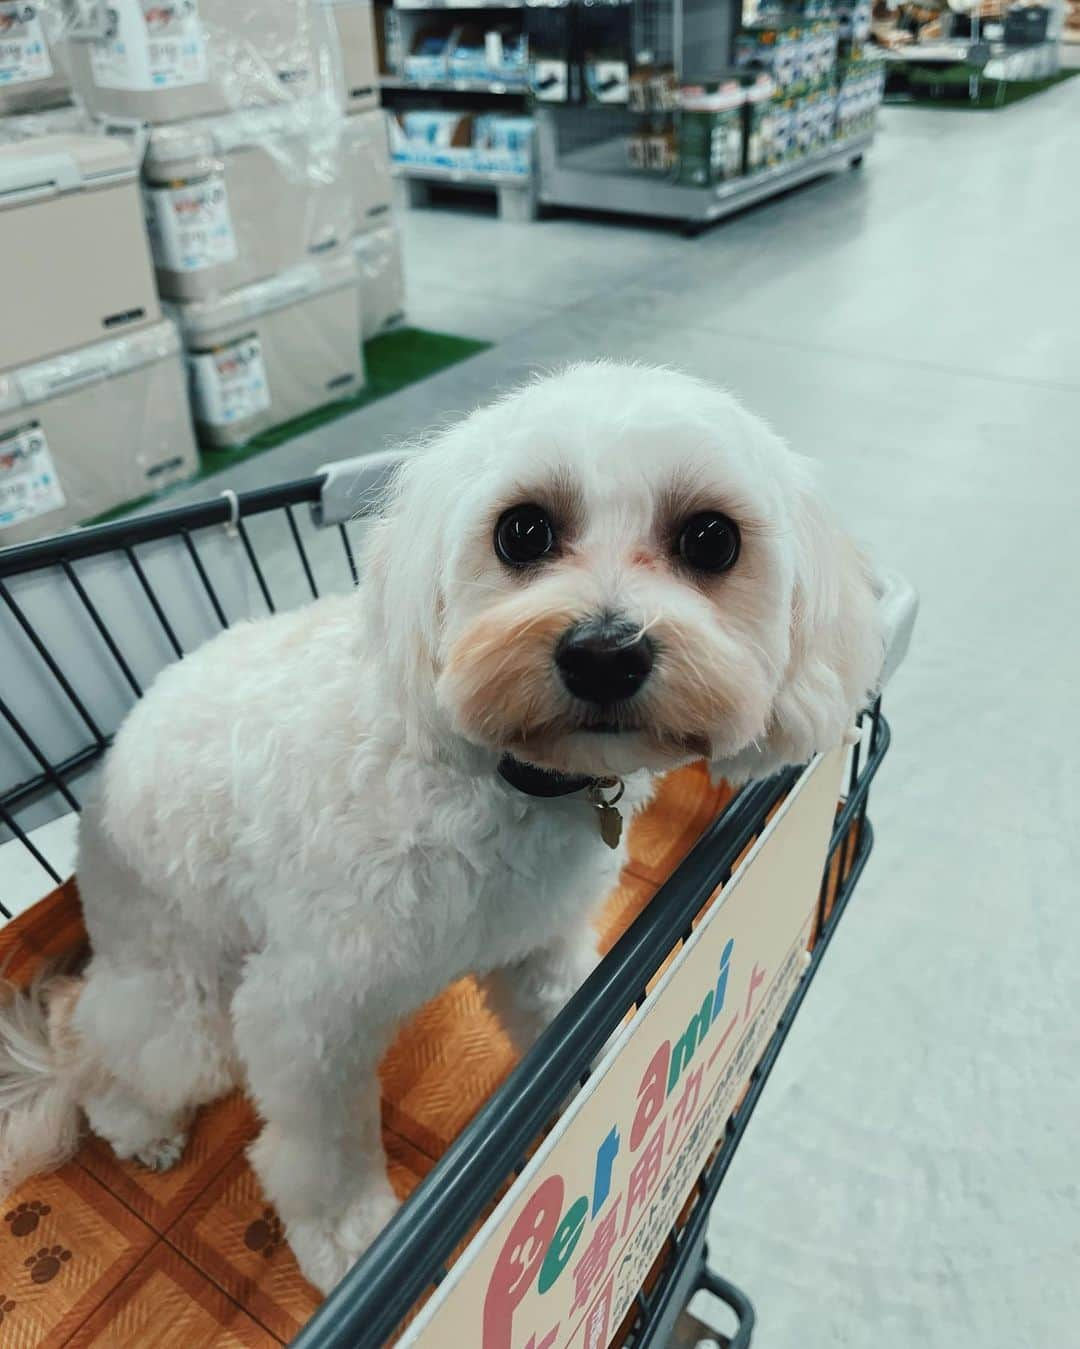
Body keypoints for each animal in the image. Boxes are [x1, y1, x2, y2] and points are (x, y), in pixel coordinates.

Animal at [0, 364, 873, 1289]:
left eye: (711, 540)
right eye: (522, 530)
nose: (604, 653)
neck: (503, 779)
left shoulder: (541, 945)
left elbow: (561, 1017)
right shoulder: (304, 1013)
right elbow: (323, 1150)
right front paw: (346, 1235)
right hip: (184, 1006)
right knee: (88, 1036)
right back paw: (139, 1125)